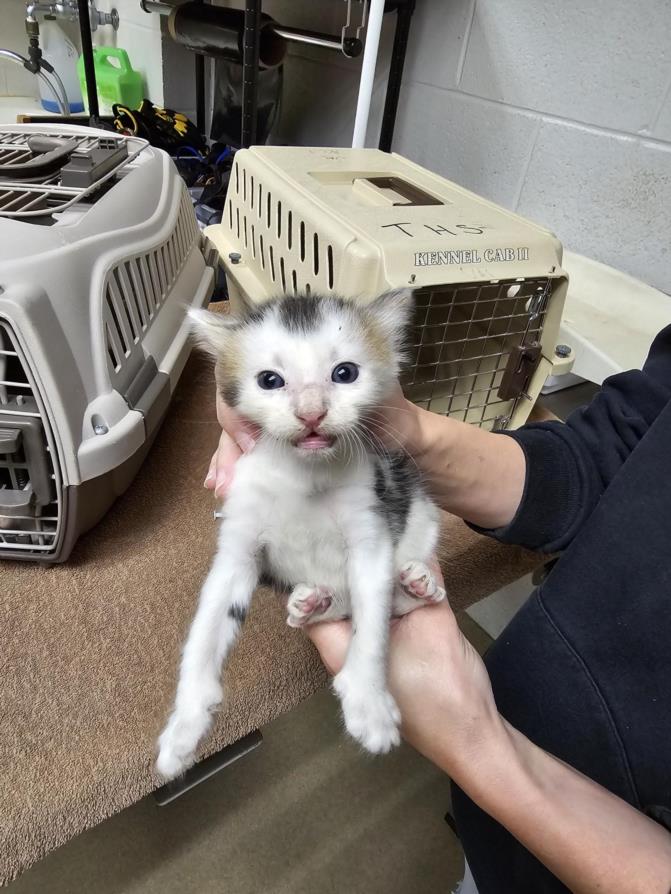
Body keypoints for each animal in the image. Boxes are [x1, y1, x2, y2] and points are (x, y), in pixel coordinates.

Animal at [155, 290, 444, 780]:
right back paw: (310, 604)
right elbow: (205, 631)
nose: (311, 413)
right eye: (269, 380)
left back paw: (416, 584)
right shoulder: (238, 543)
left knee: (394, 593)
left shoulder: (370, 531)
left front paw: (369, 704)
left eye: (344, 373)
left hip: (420, 511)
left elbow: (372, 626)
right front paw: (183, 728)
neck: (304, 476)